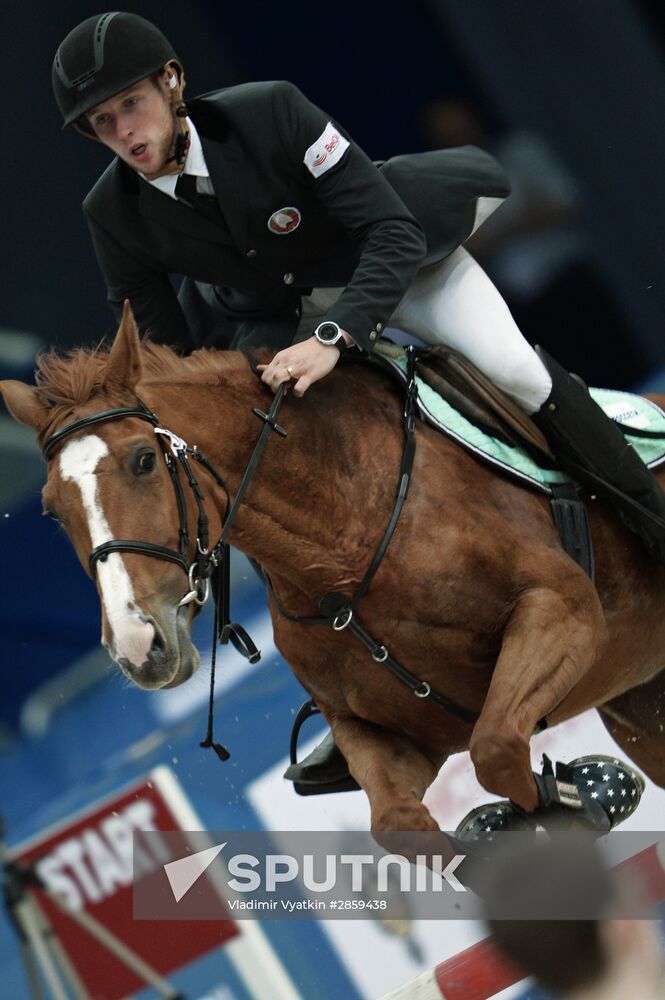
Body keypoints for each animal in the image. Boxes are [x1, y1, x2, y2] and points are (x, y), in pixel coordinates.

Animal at [1, 304, 664, 836]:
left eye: (143, 460)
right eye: (51, 509)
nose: (138, 646)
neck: (340, 548)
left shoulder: (563, 610)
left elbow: (498, 747)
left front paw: (586, 794)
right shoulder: (387, 732)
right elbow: (401, 825)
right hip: (640, 704)